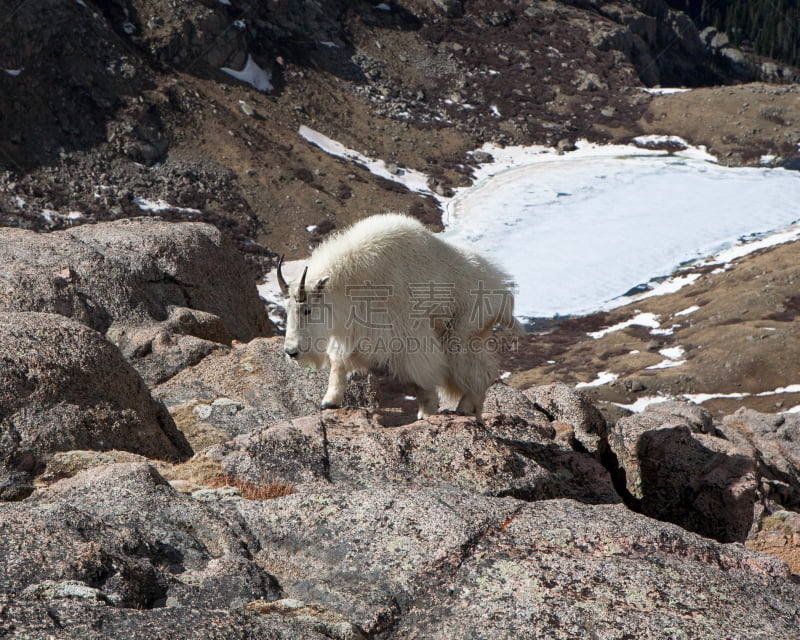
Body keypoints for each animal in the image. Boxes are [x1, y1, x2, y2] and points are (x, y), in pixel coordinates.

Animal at [278, 214, 520, 420]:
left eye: (307, 309)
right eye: (286, 309)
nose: (292, 352)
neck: (355, 279)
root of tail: (502, 292)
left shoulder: (407, 333)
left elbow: (420, 375)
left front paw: (427, 411)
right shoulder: (354, 331)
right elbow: (339, 362)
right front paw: (329, 402)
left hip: (463, 331)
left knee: (482, 370)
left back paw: (464, 407)